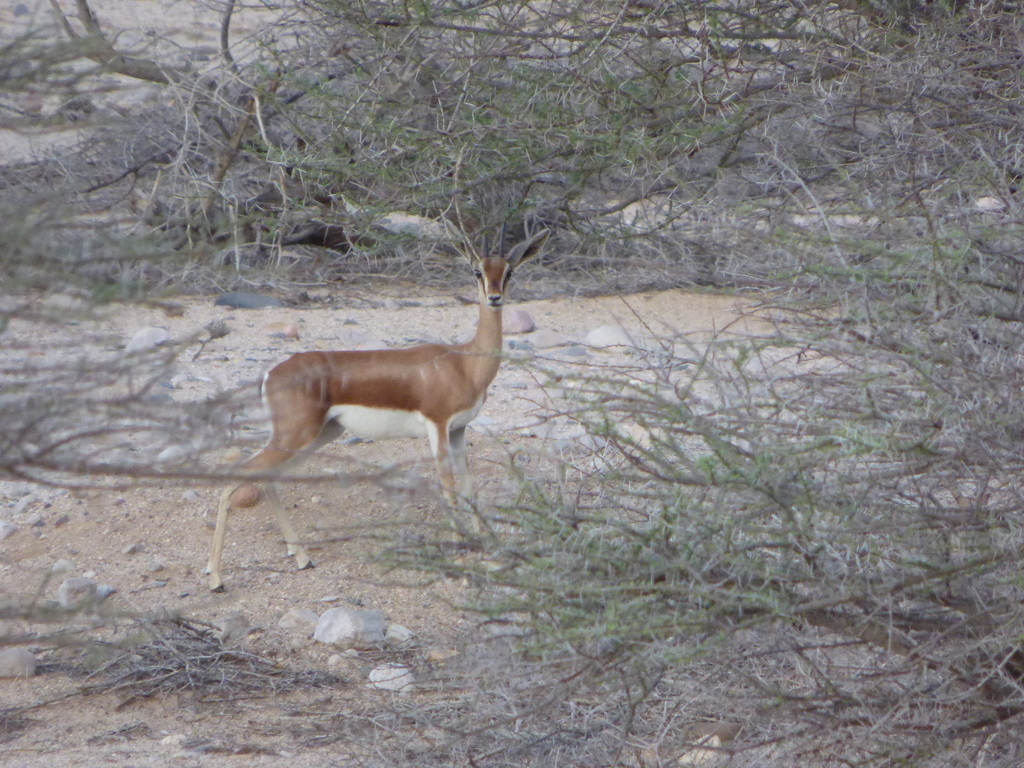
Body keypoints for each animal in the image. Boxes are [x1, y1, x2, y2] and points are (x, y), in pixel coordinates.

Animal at [206, 228, 550, 591]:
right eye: (477, 271)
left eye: (509, 271)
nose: (495, 298)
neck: (463, 363)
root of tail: (272, 372)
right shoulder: (438, 427)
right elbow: (449, 489)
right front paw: (460, 559)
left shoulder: (459, 430)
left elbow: (469, 488)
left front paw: (487, 551)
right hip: (297, 434)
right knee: (238, 476)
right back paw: (216, 579)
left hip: (320, 434)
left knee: (269, 479)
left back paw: (302, 558)